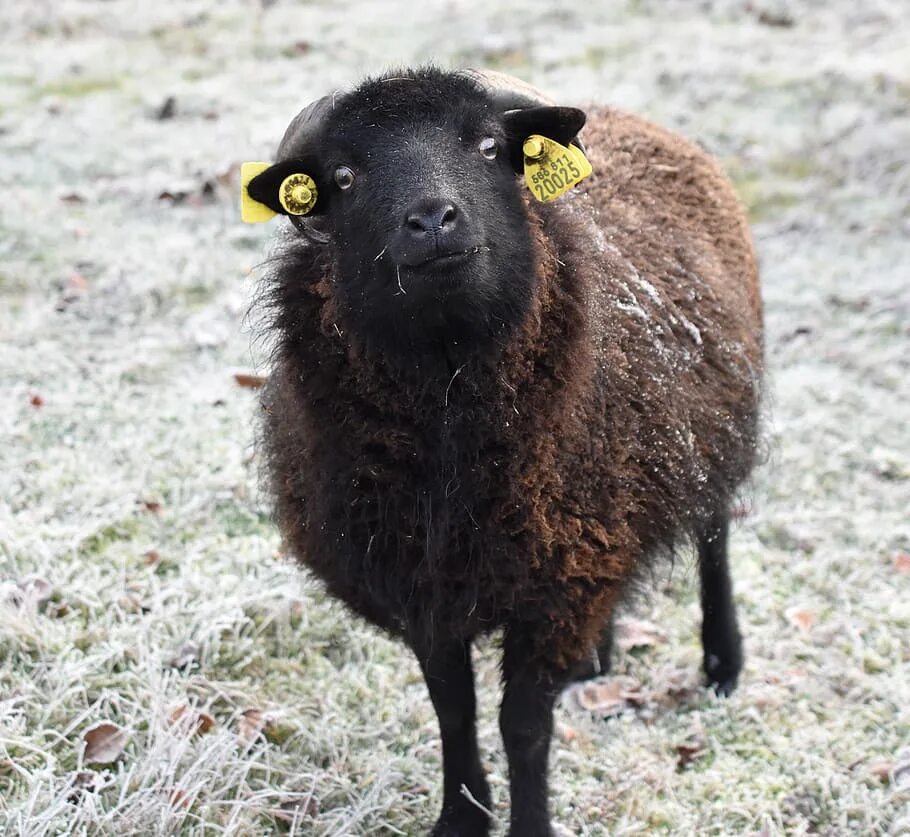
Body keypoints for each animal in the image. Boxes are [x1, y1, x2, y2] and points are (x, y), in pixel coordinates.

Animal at [246, 66, 762, 837]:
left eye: (491, 148)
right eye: (343, 176)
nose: (432, 219)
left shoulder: (553, 592)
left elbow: (522, 726)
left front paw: (529, 823)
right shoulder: (427, 582)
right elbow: (452, 711)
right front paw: (459, 817)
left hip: (708, 436)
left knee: (714, 536)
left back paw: (723, 662)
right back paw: (597, 660)